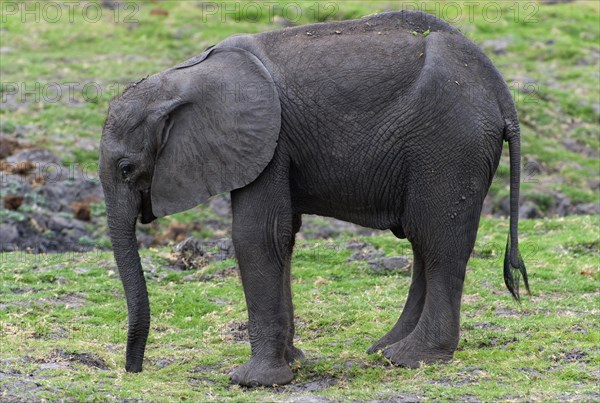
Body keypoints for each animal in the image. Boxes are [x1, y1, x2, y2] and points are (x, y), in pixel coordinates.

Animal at [98, 11, 528, 386]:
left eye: (126, 168)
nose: (134, 370)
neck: (184, 77)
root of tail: (500, 90)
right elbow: (283, 235)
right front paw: (294, 362)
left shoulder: (267, 141)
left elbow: (257, 236)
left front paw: (252, 381)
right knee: (425, 242)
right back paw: (385, 351)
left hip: (451, 144)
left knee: (438, 242)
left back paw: (412, 358)